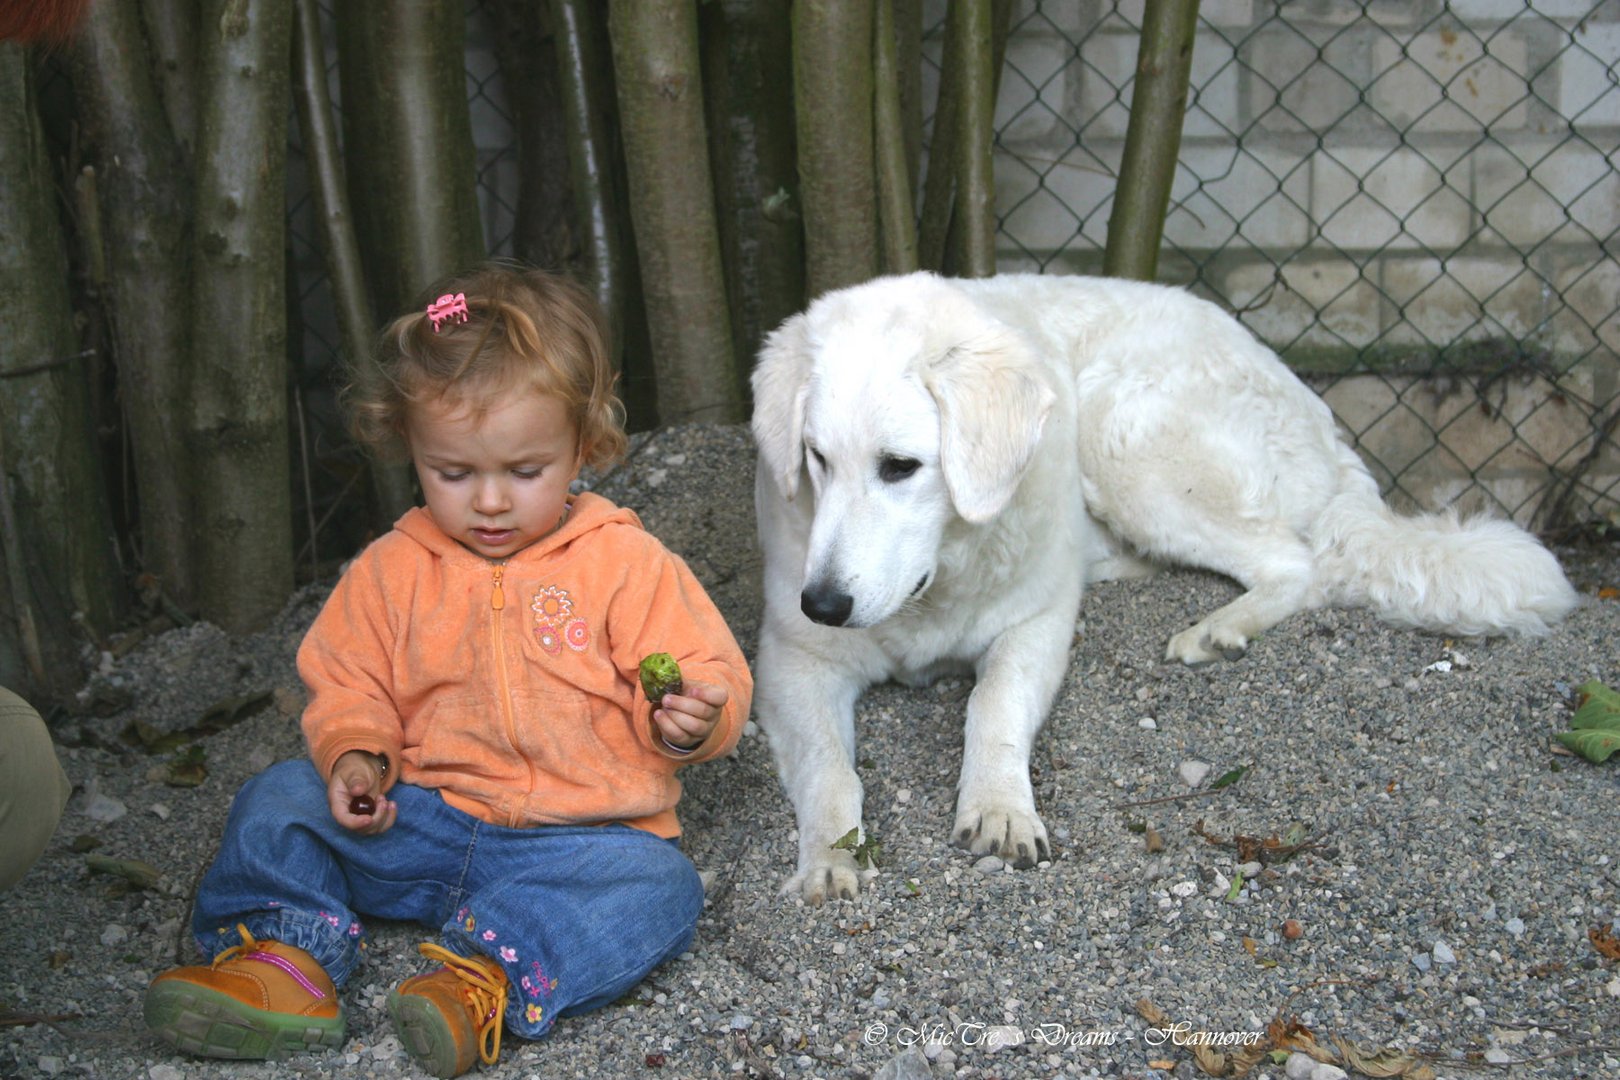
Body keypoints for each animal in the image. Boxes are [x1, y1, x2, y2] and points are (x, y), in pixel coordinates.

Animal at [748, 270, 1581, 906]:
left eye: (901, 467)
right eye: (816, 459)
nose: (824, 604)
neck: (939, 579)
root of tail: (1317, 414)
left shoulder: (1034, 626)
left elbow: (993, 708)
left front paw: (999, 806)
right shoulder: (792, 662)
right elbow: (829, 769)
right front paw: (832, 855)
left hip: (1126, 434)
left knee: (1296, 561)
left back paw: (1221, 629)